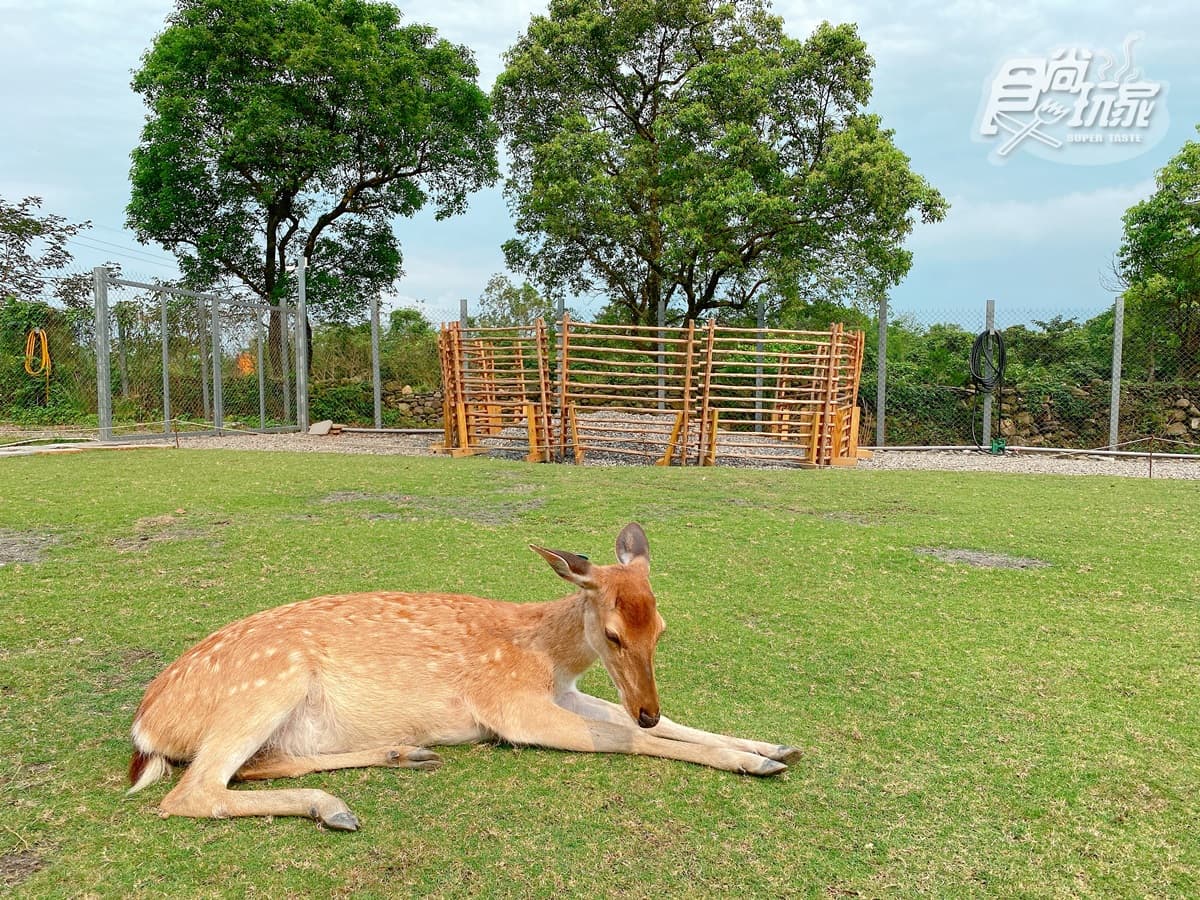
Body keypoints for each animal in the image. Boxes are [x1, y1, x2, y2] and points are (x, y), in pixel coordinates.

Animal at [127, 523, 800, 830]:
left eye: (661, 626)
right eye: (613, 634)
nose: (648, 707)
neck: (546, 655)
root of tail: (144, 729)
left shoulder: (567, 693)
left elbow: (656, 725)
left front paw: (775, 747)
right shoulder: (511, 707)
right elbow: (631, 741)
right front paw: (755, 762)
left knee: (256, 766)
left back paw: (403, 755)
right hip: (268, 683)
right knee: (192, 792)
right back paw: (335, 807)